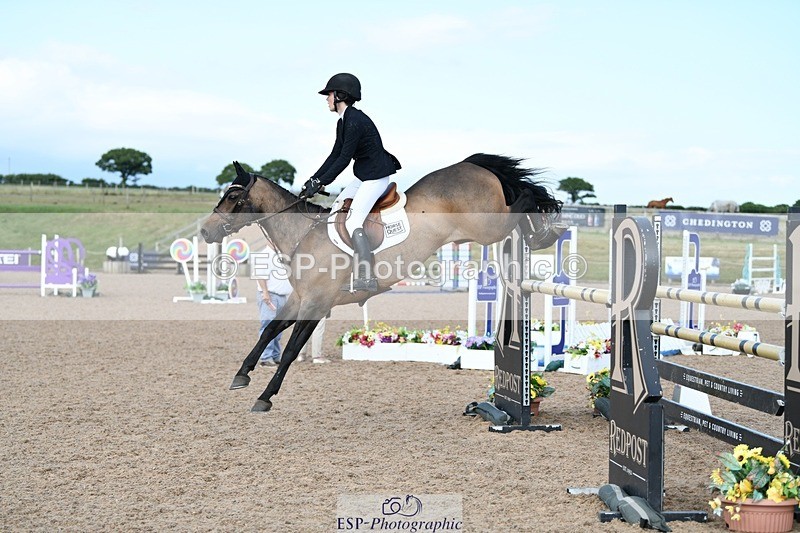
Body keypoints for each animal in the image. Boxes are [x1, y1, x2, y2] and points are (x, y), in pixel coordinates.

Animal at [201, 153, 564, 412]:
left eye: (232, 196)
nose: (205, 231)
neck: (303, 234)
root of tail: (472, 166)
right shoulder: (299, 299)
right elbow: (269, 330)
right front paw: (242, 373)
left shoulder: (317, 303)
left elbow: (290, 350)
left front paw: (265, 396)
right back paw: (541, 232)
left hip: (488, 227)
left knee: (524, 199)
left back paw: (543, 230)